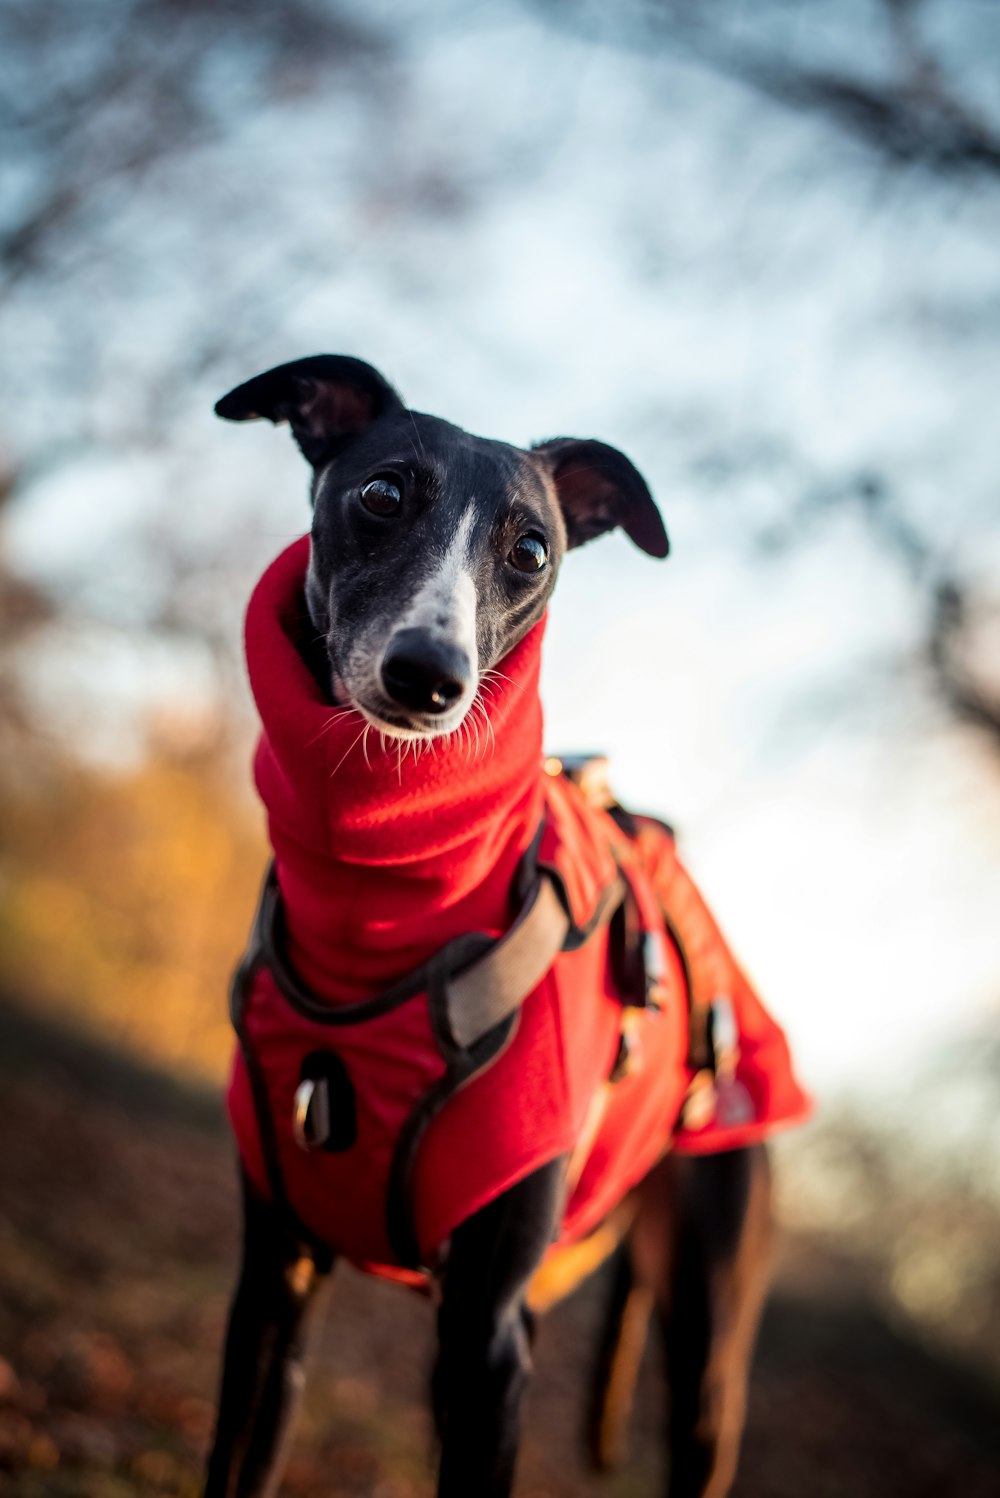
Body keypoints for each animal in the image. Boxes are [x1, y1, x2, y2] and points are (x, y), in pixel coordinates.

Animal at [203, 353, 778, 1498]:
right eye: (382, 493)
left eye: (532, 551)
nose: (430, 678)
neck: (382, 914)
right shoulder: (277, 1285)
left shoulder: (486, 1342)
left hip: (702, 1337)